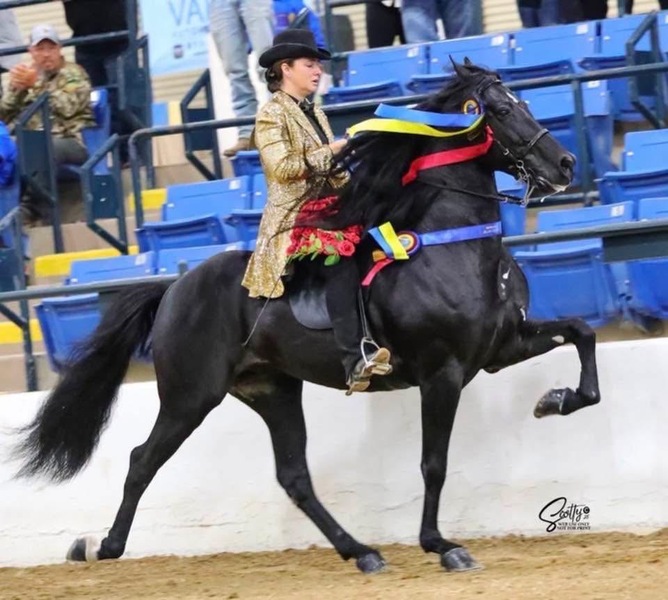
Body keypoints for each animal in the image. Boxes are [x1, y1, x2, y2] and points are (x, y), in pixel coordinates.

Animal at [13, 60, 599, 574]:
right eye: (498, 109)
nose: (565, 166)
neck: (452, 246)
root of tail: (174, 287)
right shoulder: (443, 373)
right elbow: (433, 464)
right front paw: (443, 546)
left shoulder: (502, 347)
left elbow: (582, 336)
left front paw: (555, 400)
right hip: (190, 395)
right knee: (143, 460)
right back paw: (100, 547)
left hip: (270, 389)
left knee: (293, 476)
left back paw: (361, 552)